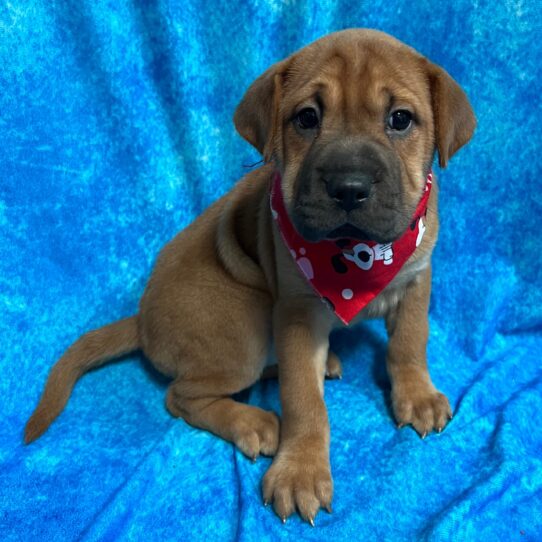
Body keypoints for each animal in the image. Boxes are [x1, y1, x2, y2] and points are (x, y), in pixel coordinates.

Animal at [25, 30, 476, 528]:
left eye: (400, 119)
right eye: (307, 117)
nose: (349, 188)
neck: (355, 261)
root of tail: (141, 322)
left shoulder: (417, 279)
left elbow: (409, 344)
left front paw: (417, 394)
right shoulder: (297, 313)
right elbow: (303, 399)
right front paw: (300, 470)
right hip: (244, 326)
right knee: (180, 397)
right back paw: (254, 421)